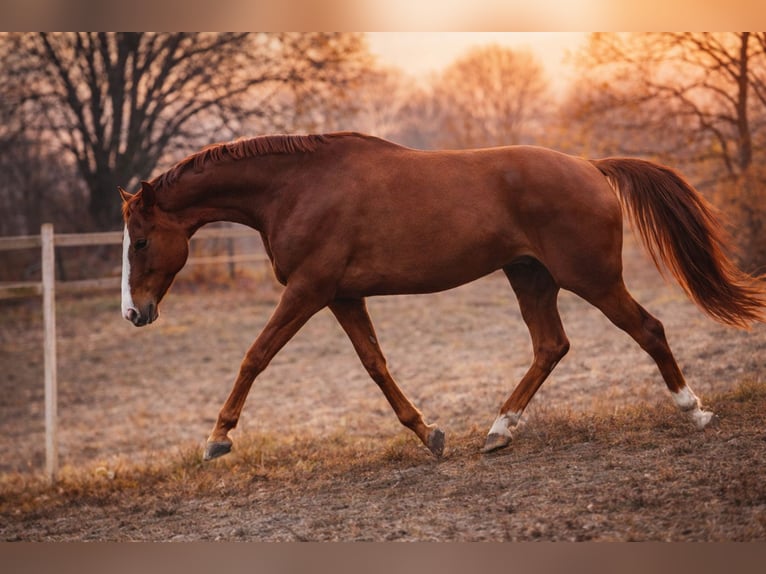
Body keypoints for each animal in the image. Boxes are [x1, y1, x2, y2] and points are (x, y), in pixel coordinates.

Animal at [119, 132, 765, 460]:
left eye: (142, 240)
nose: (134, 312)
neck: (298, 187)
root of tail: (590, 164)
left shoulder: (308, 290)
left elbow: (255, 355)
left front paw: (217, 439)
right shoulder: (341, 296)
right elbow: (375, 365)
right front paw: (428, 433)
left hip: (592, 278)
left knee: (647, 329)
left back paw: (694, 410)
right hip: (529, 276)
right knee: (551, 346)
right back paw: (499, 430)